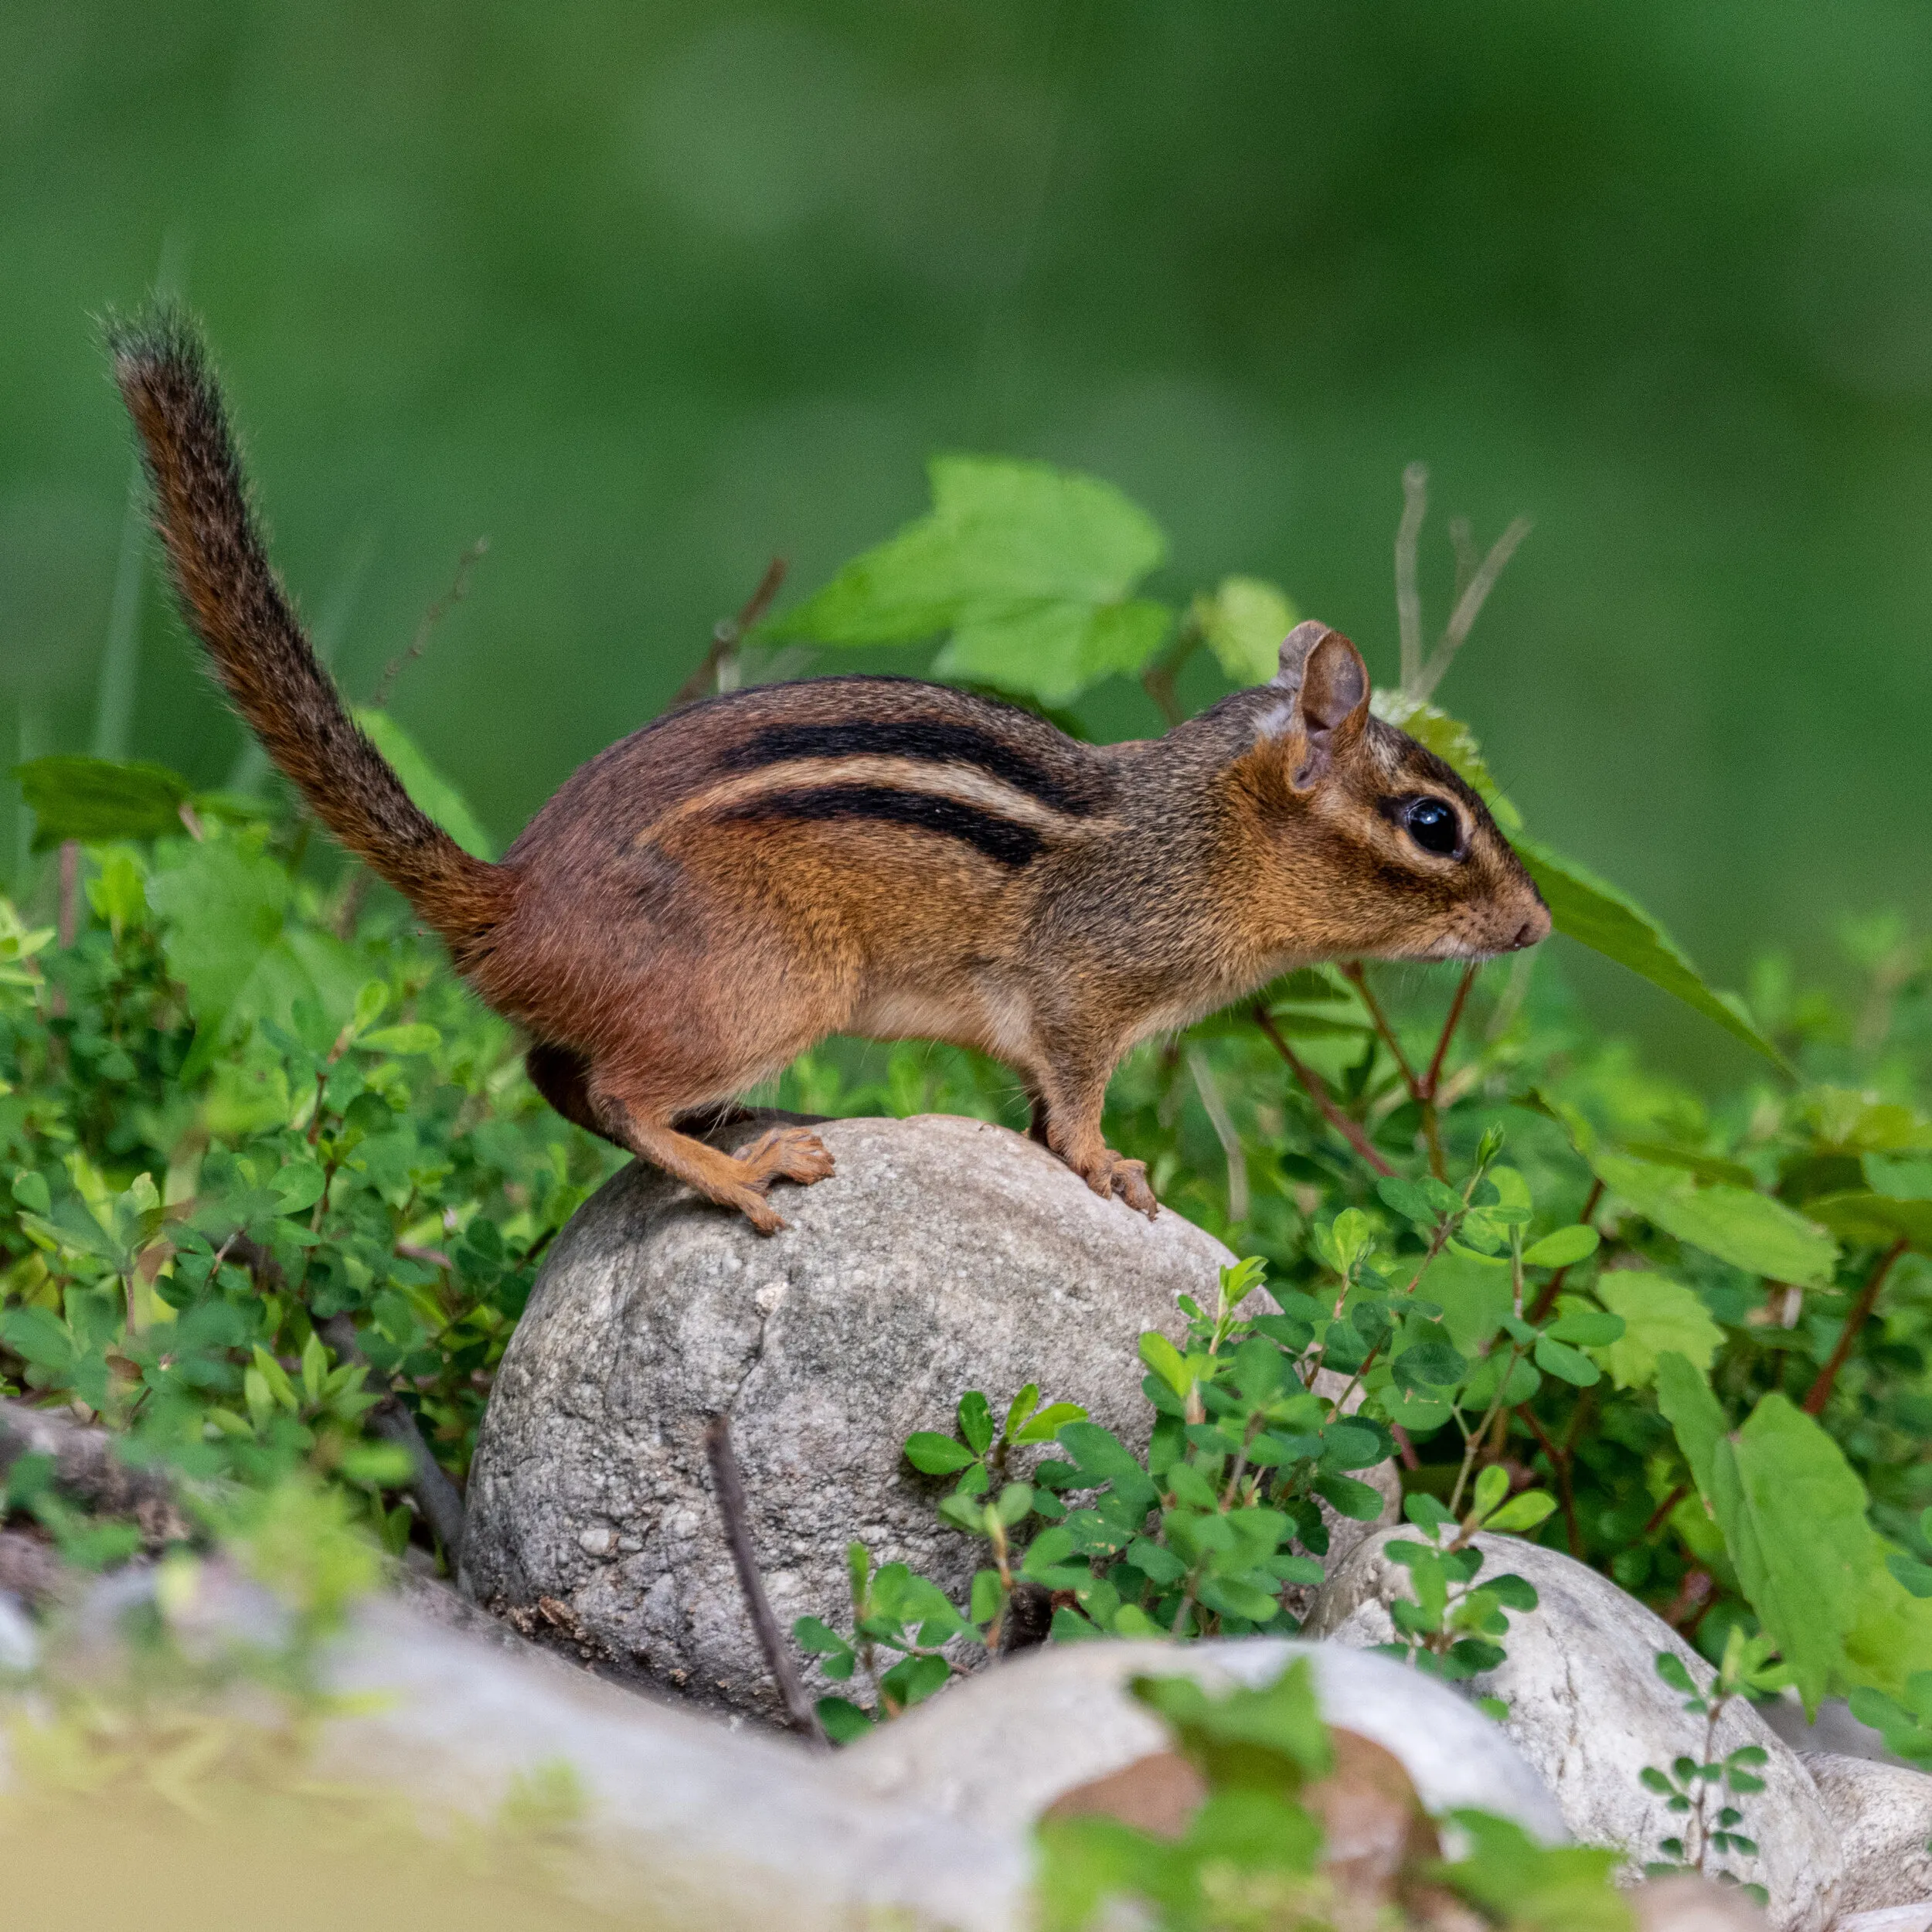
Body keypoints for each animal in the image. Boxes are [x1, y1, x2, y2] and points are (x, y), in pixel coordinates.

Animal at [109, 307, 1550, 1235]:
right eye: (1433, 823)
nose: (1536, 924)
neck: (1196, 832)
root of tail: (508, 901)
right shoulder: (1082, 988)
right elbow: (1075, 1094)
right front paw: (1112, 1168)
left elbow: (1036, 1106)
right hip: (774, 985)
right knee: (615, 1090)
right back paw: (745, 1176)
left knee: (556, 1081)